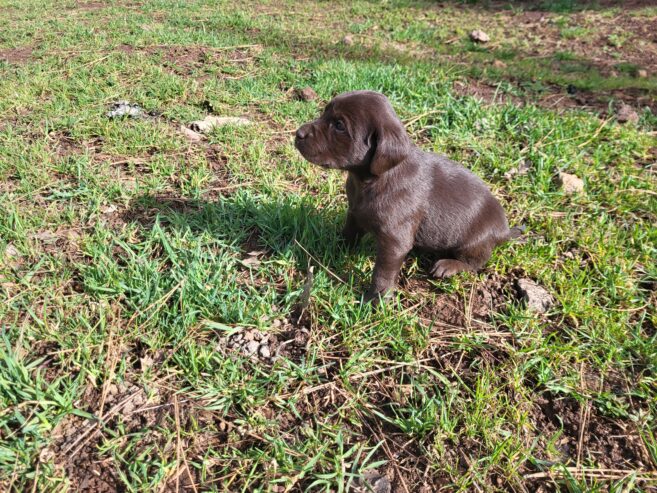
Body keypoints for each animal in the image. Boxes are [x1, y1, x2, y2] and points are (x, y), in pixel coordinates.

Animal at [294, 91, 516, 300]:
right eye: (324, 112)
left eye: (339, 125)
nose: (298, 133)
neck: (370, 181)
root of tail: (505, 231)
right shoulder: (354, 214)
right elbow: (348, 234)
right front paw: (331, 251)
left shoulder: (395, 242)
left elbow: (382, 273)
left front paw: (376, 299)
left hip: (474, 243)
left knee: (473, 264)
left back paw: (449, 265)